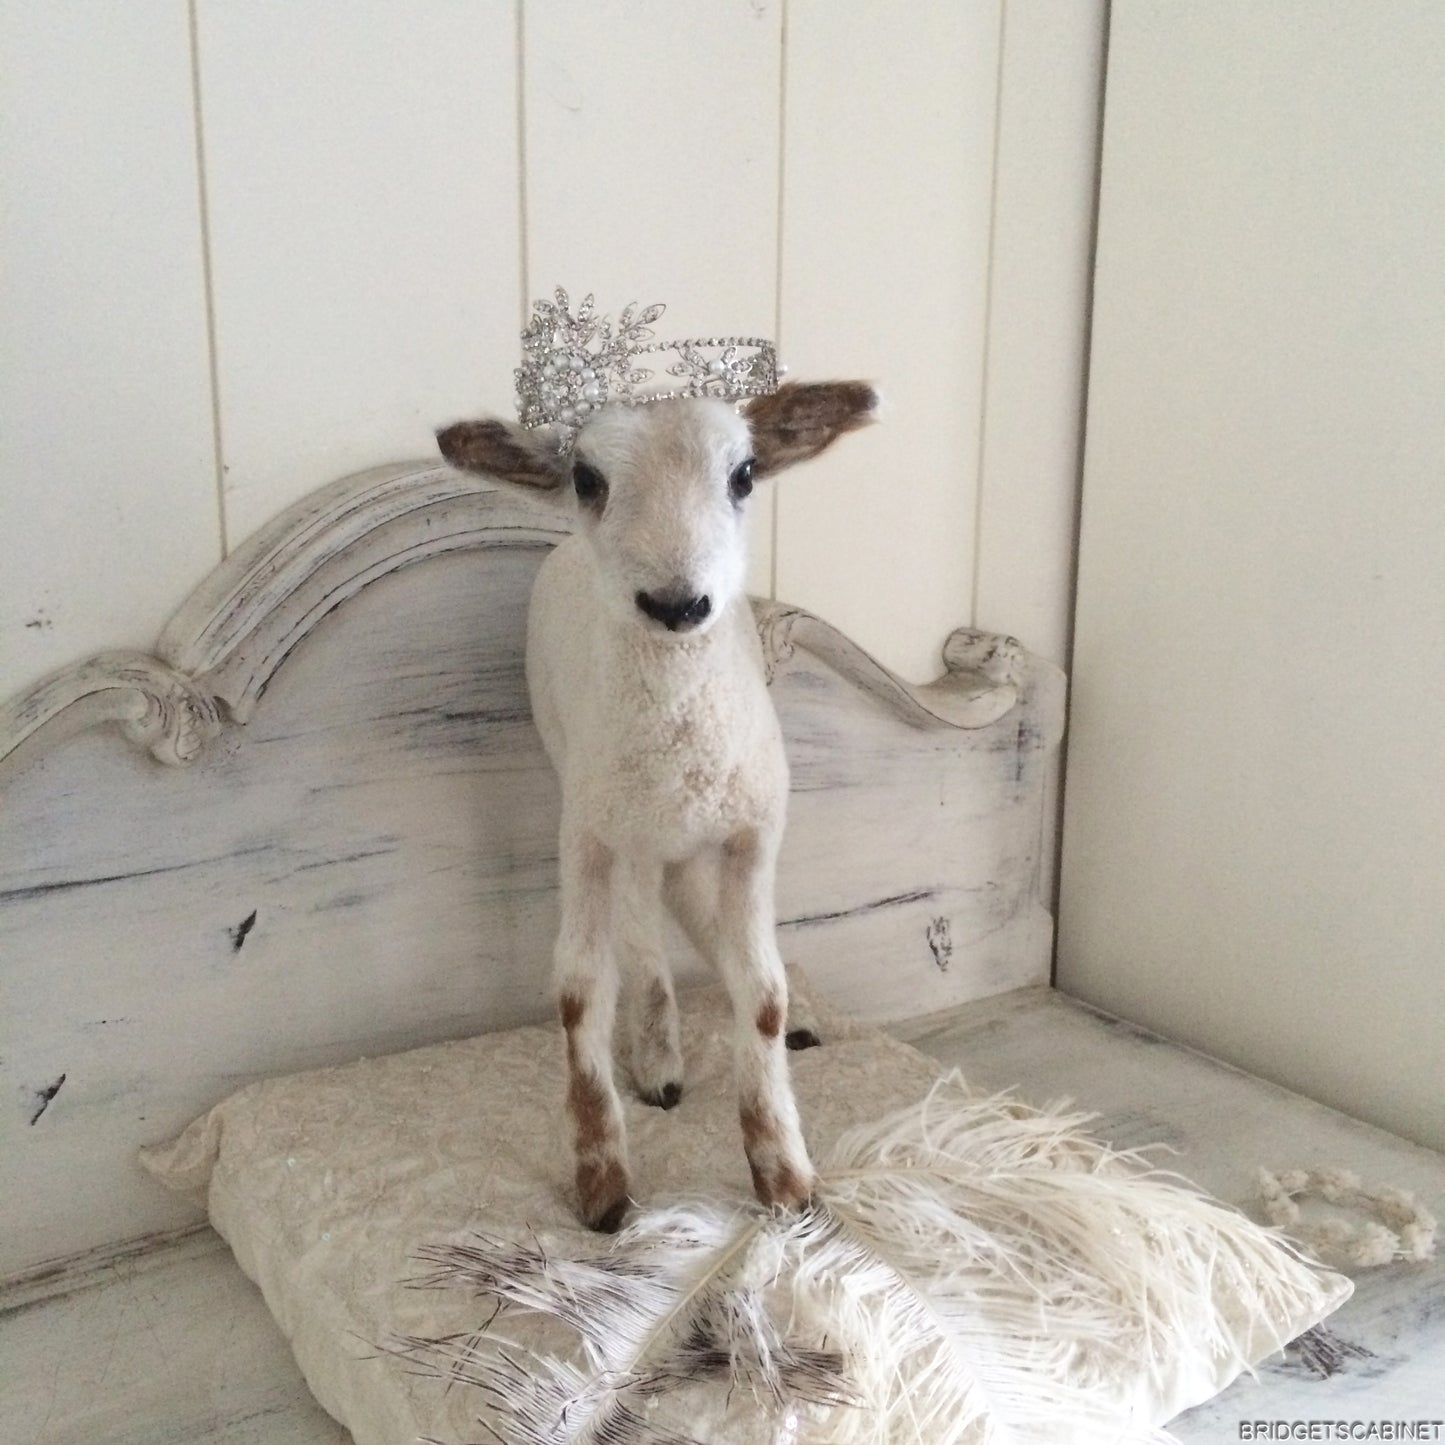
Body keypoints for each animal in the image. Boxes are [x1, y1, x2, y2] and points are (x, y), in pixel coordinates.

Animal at [437, 380, 877, 1231]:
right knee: (644, 933)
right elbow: (580, 992)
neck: (679, 731)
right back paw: (659, 1058)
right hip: (604, 800)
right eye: (586, 478)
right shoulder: (586, 834)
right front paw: (602, 1184)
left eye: (744, 473)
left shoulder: (754, 834)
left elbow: (761, 993)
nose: (675, 603)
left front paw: (784, 1173)